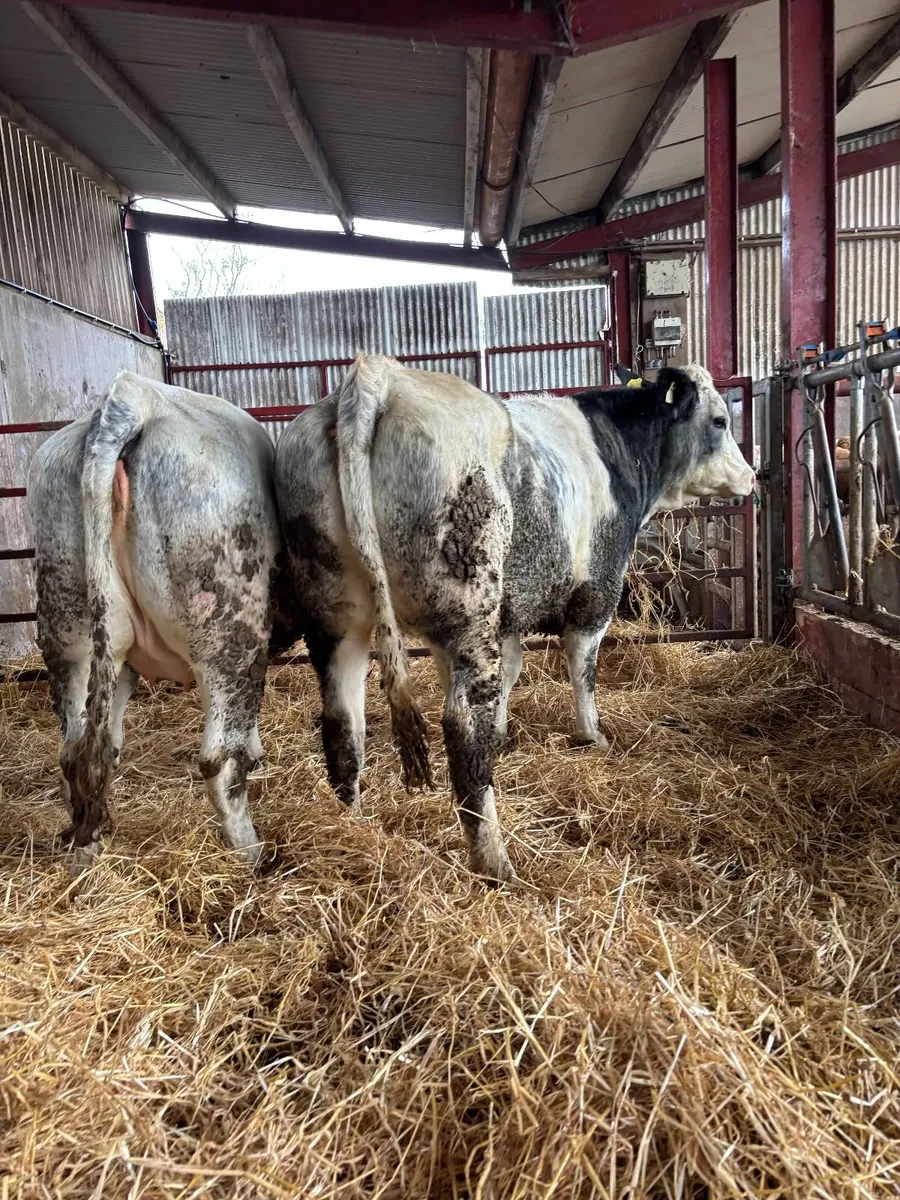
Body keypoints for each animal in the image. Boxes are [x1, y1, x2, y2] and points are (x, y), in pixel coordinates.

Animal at [28, 372, 280, 872]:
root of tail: (133, 397)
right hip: (229, 637)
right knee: (219, 761)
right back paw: (251, 855)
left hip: (70, 630)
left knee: (79, 748)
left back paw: (85, 850)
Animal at [273, 356, 755, 884]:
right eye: (719, 421)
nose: (751, 477)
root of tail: (381, 377)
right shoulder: (597, 589)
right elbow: (583, 668)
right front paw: (593, 736)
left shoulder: (505, 621)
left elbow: (509, 675)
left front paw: (503, 739)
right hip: (465, 609)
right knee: (462, 726)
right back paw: (495, 863)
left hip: (340, 623)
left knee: (344, 724)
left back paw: (354, 827)